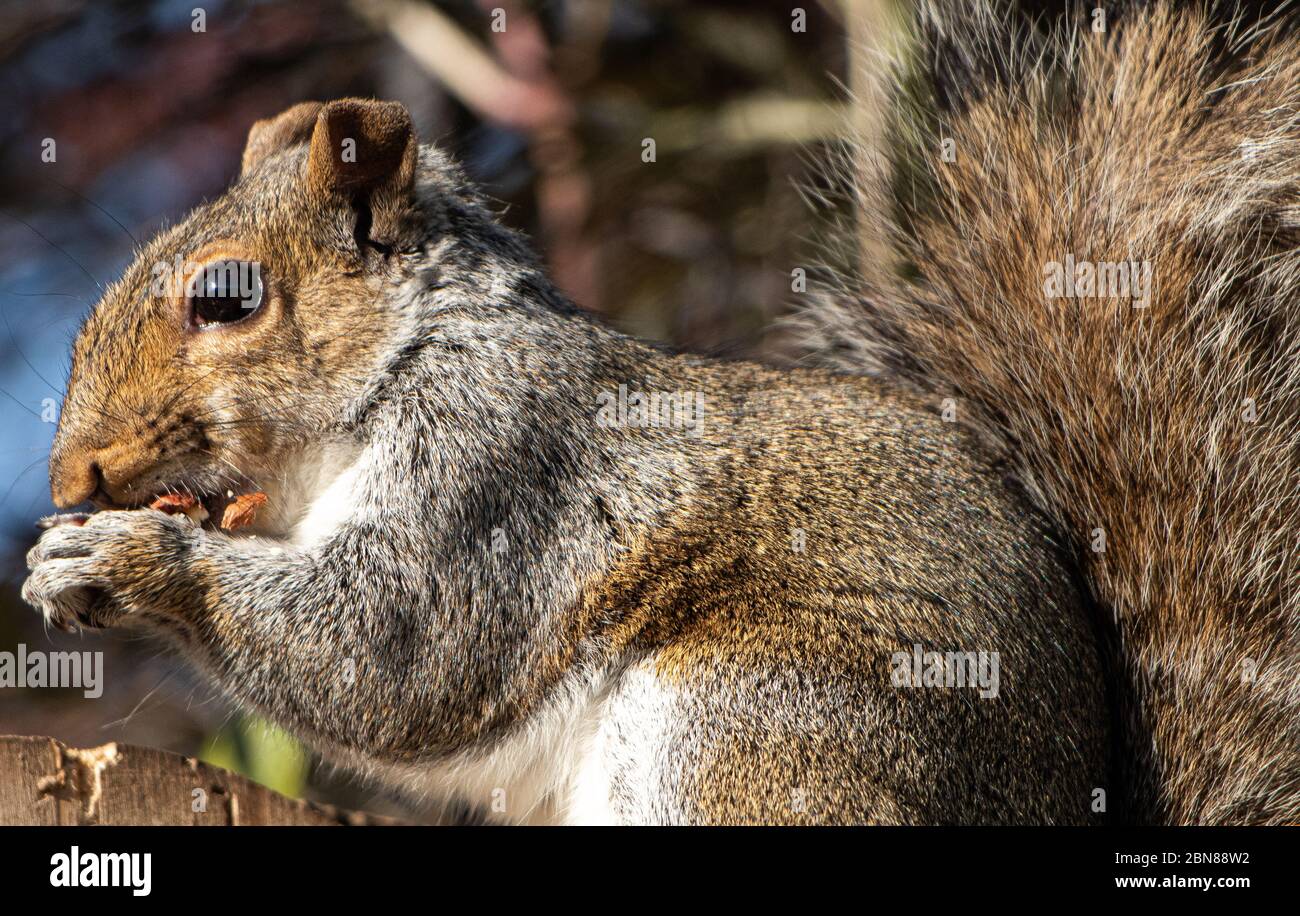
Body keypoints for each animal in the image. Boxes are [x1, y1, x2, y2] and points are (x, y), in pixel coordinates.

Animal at [20, 1, 1298, 824]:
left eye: (226, 298)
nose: (72, 479)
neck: (410, 353)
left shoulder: (497, 467)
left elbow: (393, 648)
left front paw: (128, 559)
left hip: (756, 730)